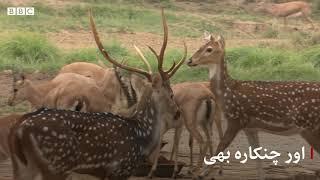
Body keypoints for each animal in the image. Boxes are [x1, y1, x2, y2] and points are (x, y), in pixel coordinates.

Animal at [8, 9, 185, 180]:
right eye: (171, 94)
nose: (178, 112)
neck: (141, 136)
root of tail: (19, 129)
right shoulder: (120, 169)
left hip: (27, 165)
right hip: (56, 165)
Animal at [186, 33, 320, 179]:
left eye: (209, 49)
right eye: (199, 46)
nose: (190, 61)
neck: (227, 92)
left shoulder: (236, 119)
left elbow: (221, 146)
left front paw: (202, 172)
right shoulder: (250, 127)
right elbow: (257, 155)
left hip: (310, 126)